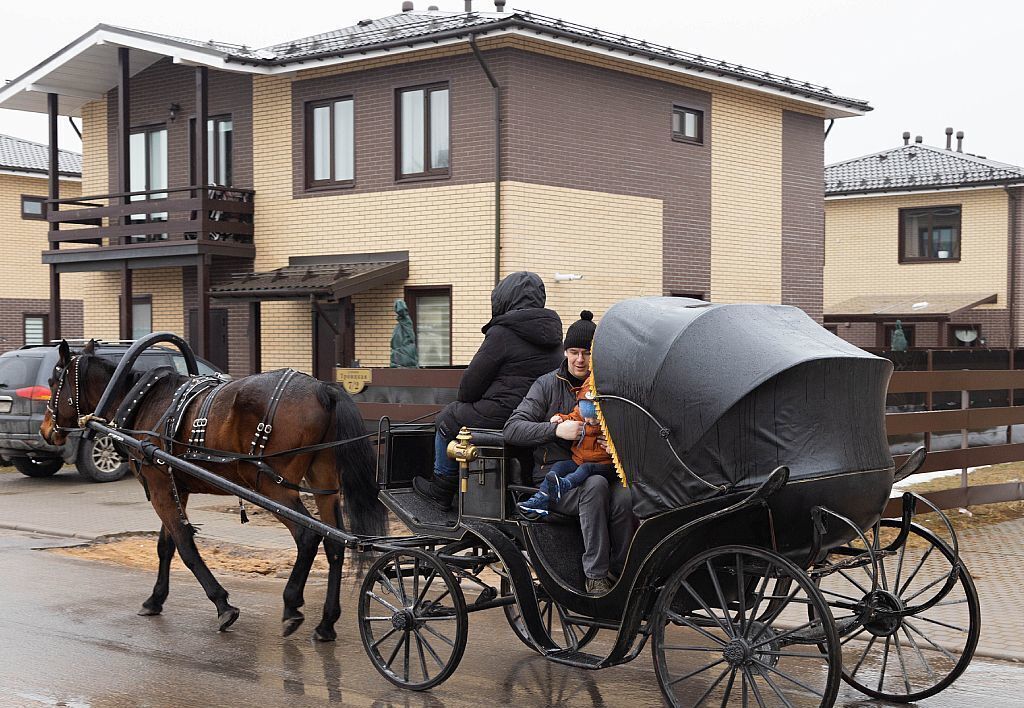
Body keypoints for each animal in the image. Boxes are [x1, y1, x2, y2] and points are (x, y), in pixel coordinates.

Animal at [40, 340, 387, 639]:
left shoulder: (158, 484)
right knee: (334, 544)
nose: (46, 430)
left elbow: (185, 546)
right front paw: (155, 599)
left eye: (53, 381)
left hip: (272, 486)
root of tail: (322, 389)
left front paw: (223, 605)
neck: (144, 402)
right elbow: (165, 546)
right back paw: (326, 623)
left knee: (307, 536)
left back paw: (291, 605)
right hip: (323, 482)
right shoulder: (176, 486)